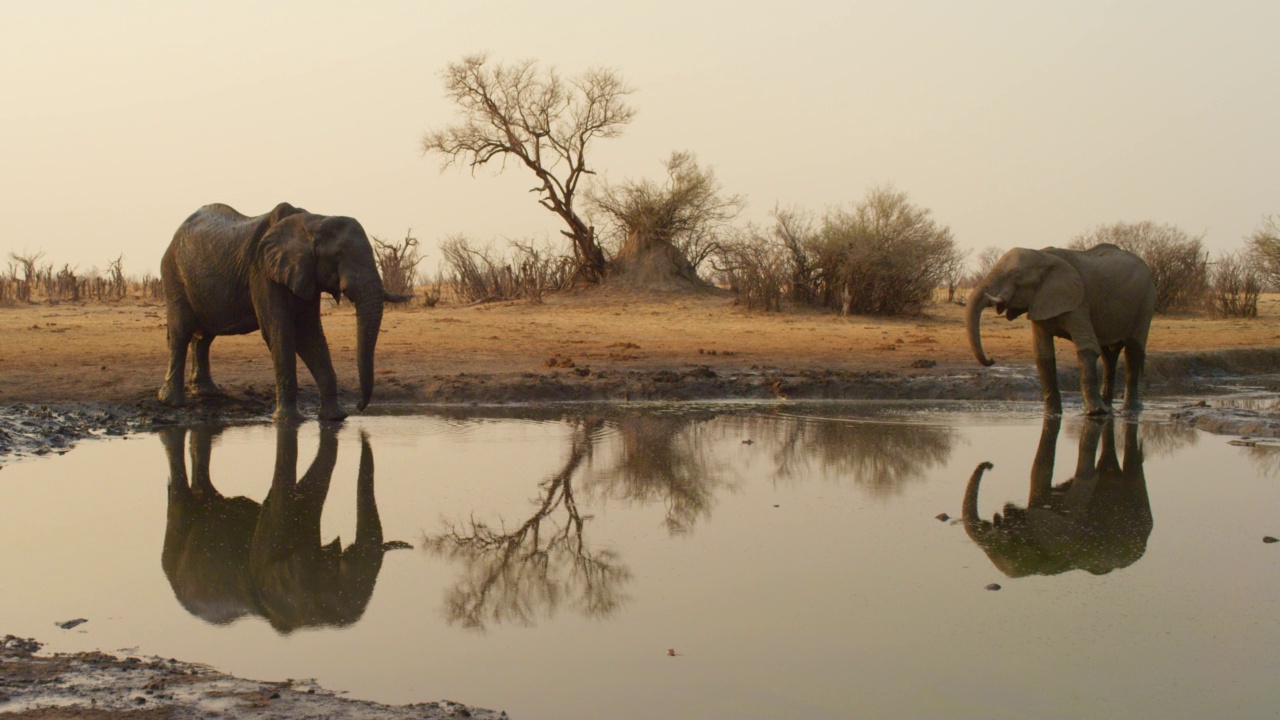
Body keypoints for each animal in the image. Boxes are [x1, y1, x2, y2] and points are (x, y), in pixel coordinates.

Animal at [962, 243, 1157, 412]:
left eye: (1016, 275)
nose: (992, 359)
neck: (1042, 255)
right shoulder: (1040, 301)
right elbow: (1043, 356)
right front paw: (1052, 413)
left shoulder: (1078, 302)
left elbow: (1087, 348)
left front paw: (1094, 413)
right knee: (1109, 354)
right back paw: (1109, 407)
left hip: (1146, 301)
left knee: (1132, 351)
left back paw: (1130, 409)